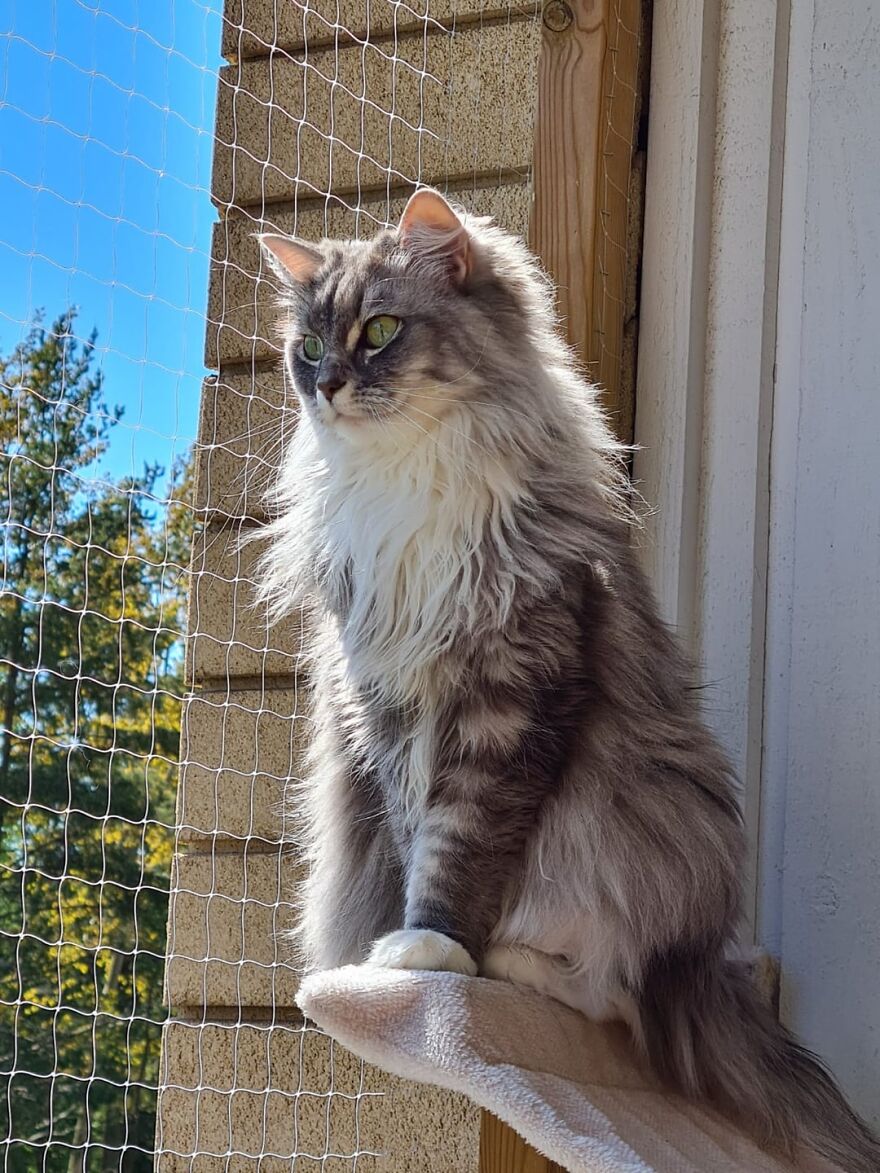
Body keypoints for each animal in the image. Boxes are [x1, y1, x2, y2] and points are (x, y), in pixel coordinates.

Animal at [254, 192, 880, 1173]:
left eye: (381, 331)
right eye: (310, 346)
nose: (326, 386)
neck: (407, 479)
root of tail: (704, 963)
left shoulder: (514, 691)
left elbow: (461, 841)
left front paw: (432, 951)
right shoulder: (384, 705)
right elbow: (417, 827)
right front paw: (405, 952)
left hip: (645, 817)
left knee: (616, 993)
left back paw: (509, 963)